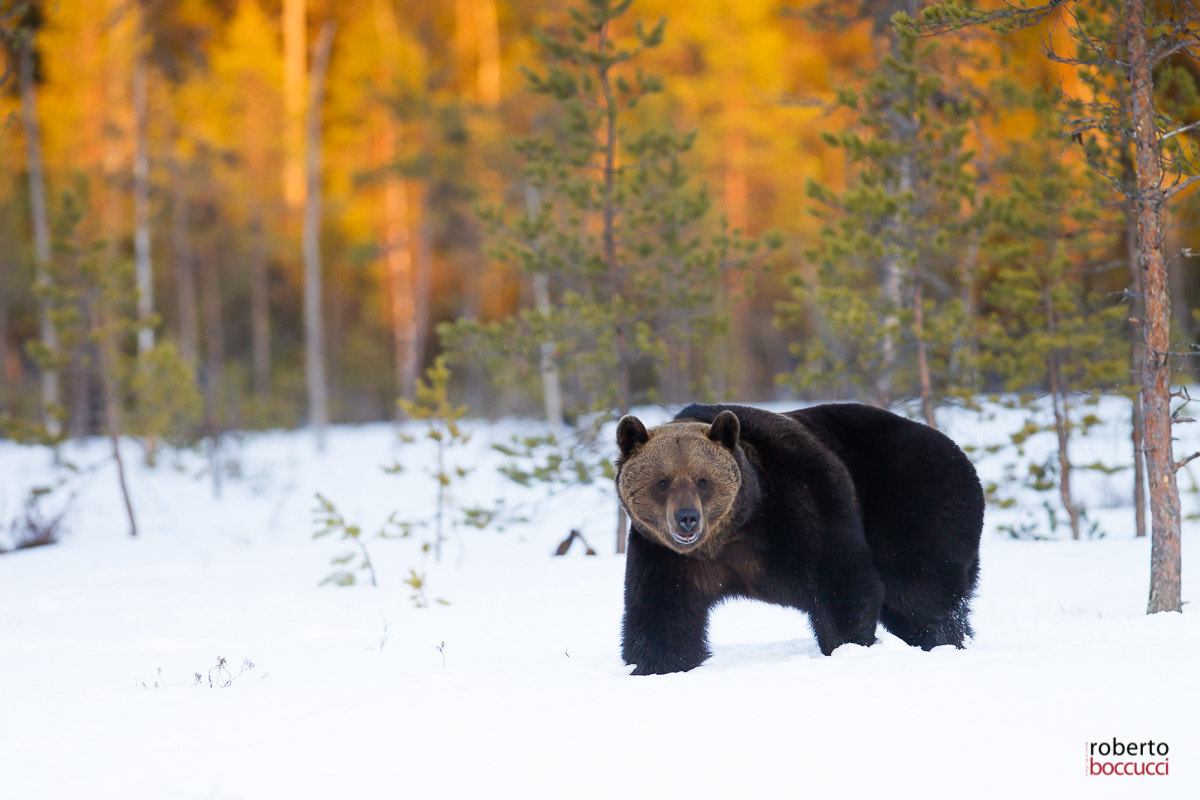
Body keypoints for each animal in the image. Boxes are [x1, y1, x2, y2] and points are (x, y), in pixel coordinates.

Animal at [616, 402, 984, 675]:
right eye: (662, 482)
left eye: (702, 480)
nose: (687, 518)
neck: (732, 532)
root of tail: (959, 451)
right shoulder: (666, 555)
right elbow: (662, 614)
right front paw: (658, 666)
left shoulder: (798, 506)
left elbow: (842, 580)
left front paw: (846, 647)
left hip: (915, 500)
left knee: (920, 590)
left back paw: (942, 640)